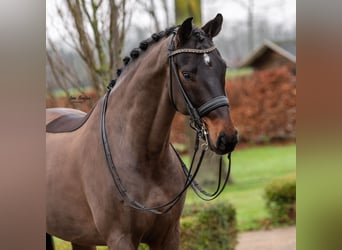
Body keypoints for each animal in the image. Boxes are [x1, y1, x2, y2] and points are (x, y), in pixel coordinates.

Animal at [45, 13, 238, 250]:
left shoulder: (169, 235)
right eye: (186, 74)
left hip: (79, 237)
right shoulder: (120, 238)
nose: (227, 137)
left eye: (223, 67)